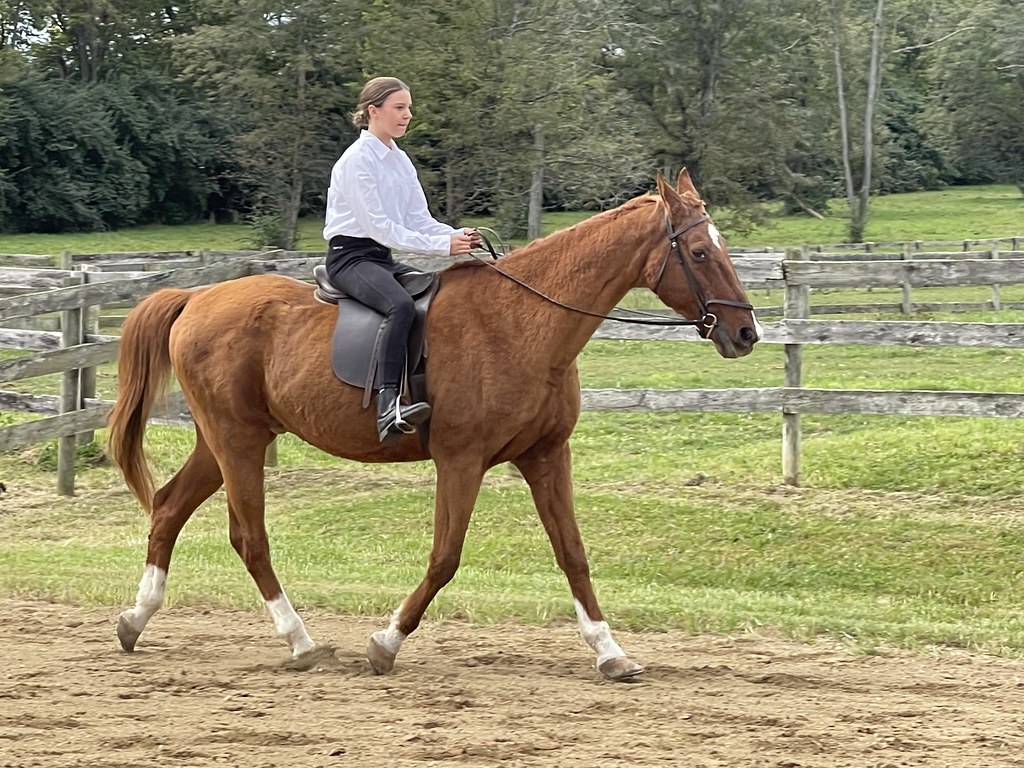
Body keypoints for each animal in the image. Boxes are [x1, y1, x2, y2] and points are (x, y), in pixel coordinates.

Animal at [106, 169, 761, 681]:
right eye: (699, 253)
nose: (746, 332)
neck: (523, 321)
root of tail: (196, 298)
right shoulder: (461, 460)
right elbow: (445, 557)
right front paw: (384, 644)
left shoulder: (547, 456)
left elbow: (573, 553)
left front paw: (610, 651)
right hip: (238, 441)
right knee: (249, 537)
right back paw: (300, 641)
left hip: (225, 441)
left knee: (168, 506)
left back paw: (135, 621)